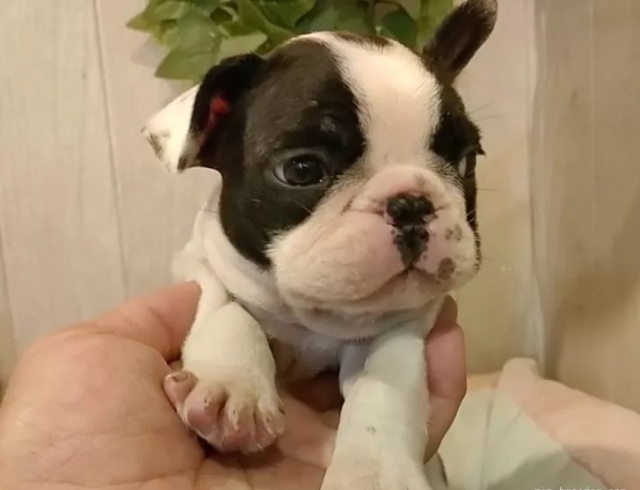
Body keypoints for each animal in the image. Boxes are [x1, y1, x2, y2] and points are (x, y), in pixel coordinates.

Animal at [142, 1, 497, 488]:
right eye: (302, 170)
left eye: (466, 162)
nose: (410, 203)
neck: (313, 317)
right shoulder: (199, 263)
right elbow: (224, 307)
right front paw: (233, 386)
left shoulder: (401, 328)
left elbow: (384, 387)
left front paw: (374, 470)